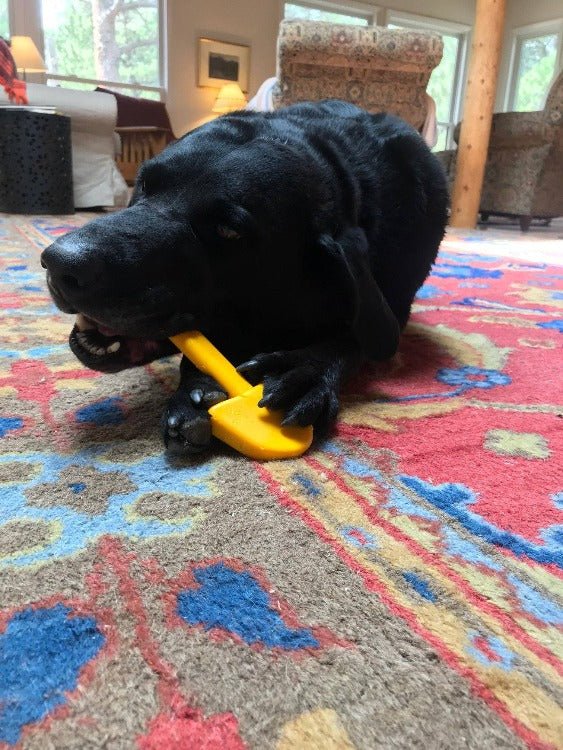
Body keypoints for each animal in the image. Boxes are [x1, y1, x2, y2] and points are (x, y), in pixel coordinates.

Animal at [40, 98, 450, 452]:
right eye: (144, 183)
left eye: (228, 231)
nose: (60, 263)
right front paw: (198, 387)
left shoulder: (393, 308)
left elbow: (357, 338)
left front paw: (306, 372)